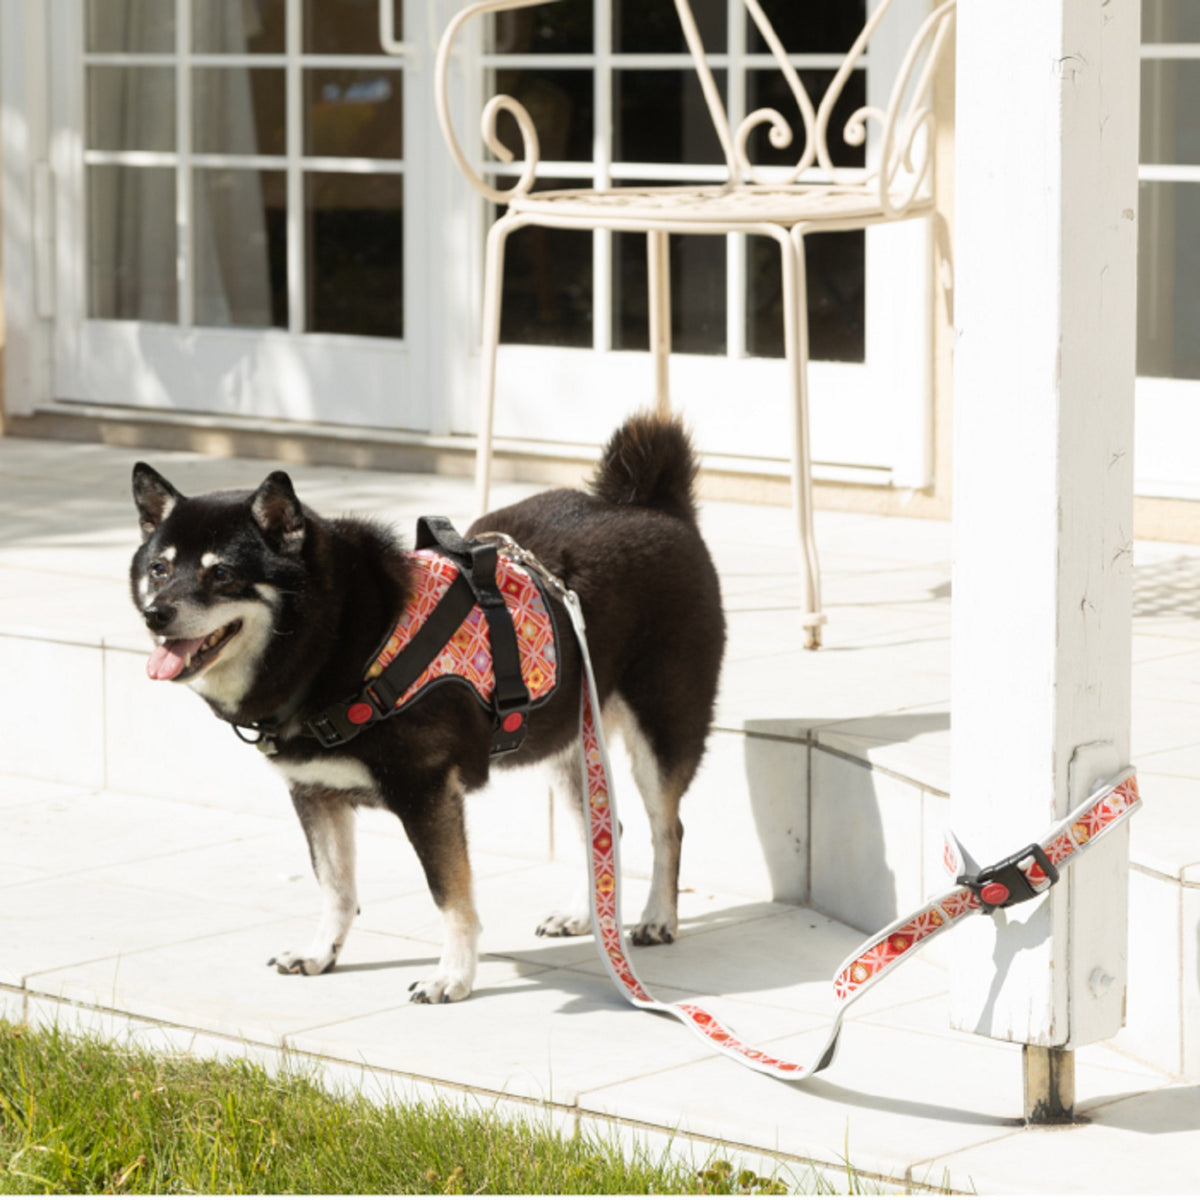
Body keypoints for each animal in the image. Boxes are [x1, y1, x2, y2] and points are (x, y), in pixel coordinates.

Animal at [136, 417, 724, 998]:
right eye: (160, 569)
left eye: (222, 574)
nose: (154, 614)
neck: (343, 638)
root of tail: (650, 506)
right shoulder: (315, 793)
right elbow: (335, 887)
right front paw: (320, 953)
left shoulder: (427, 795)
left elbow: (451, 897)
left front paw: (453, 977)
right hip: (571, 741)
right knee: (603, 831)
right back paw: (586, 914)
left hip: (659, 733)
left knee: (666, 829)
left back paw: (657, 918)